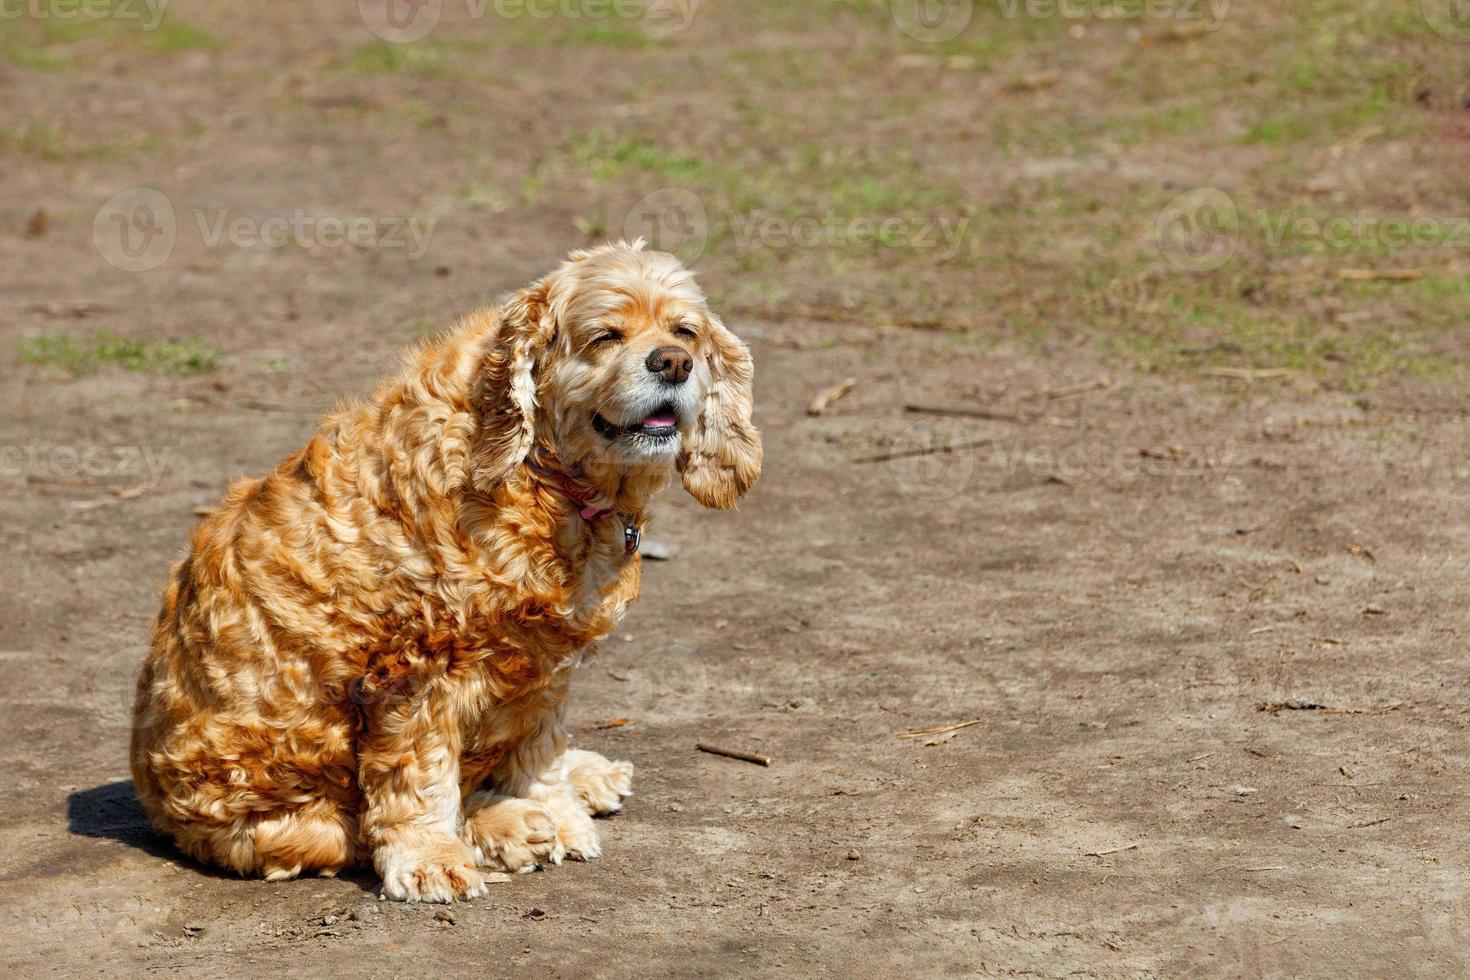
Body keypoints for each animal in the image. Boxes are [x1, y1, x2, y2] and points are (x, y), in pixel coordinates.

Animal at [132, 240, 764, 899]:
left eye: (684, 331)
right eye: (605, 336)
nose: (674, 363)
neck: (539, 475)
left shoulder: (544, 666)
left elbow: (536, 748)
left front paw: (554, 807)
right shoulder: (419, 667)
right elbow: (420, 778)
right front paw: (437, 855)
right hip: (282, 817)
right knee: (360, 829)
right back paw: (506, 827)